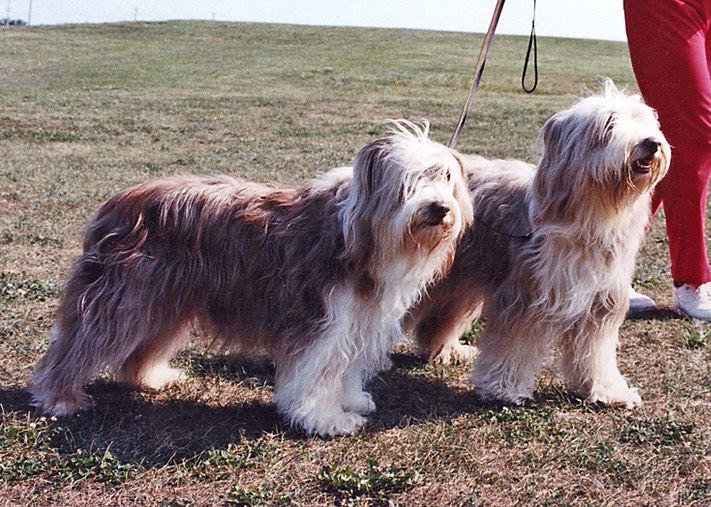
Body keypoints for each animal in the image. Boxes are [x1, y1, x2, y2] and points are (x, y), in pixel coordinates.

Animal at [30, 122, 472, 436]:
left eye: (446, 178)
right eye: (408, 183)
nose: (438, 208)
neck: (360, 238)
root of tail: (116, 203)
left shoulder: (357, 321)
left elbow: (344, 367)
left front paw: (349, 401)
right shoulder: (320, 320)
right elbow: (316, 372)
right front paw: (325, 419)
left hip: (164, 301)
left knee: (140, 349)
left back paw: (152, 377)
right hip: (119, 300)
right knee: (77, 346)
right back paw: (59, 398)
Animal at [408, 83, 672, 408]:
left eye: (643, 121)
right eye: (608, 125)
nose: (652, 143)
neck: (591, 218)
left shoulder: (601, 303)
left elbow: (596, 353)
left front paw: (608, 391)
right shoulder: (524, 293)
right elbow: (512, 345)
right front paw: (504, 389)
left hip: (461, 277)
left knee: (441, 317)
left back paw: (446, 350)